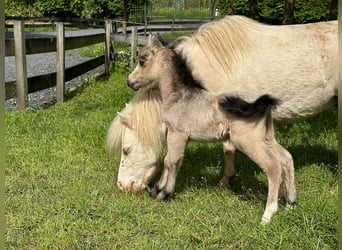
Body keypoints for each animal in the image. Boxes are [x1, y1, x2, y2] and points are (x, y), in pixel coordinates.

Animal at [125, 34, 296, 223]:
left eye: (142, 60)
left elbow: (171, 161)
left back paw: (268, 214)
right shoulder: (177, 136)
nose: (129, 81)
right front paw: (158, 191)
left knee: (273, 166)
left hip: (248, 141)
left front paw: (163, 193)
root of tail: (262, 103)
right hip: (267, 137)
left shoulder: (178, 134)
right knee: (286, 158)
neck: (179, 96)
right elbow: (171, 160)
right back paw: (290, 204)